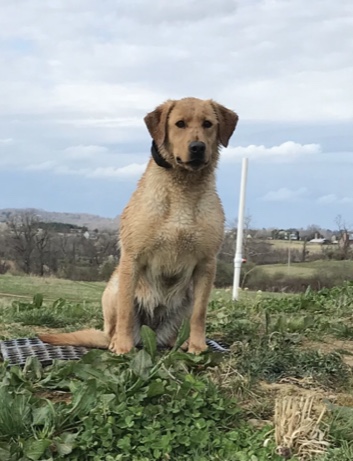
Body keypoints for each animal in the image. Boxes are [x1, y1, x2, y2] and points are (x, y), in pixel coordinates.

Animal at [38, 97, 238, 354]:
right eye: (180, 124)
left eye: (208, 124)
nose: (197, 147)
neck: (183, 190)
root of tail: (149, 334)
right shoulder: (132, 258)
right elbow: (126, 310)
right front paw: (123, 346)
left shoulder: (206, 264)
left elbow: (200, 314)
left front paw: (197, 345)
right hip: (114, 286)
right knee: (115, 325)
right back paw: (117, 340)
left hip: (187, 297)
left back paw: (180, 342)